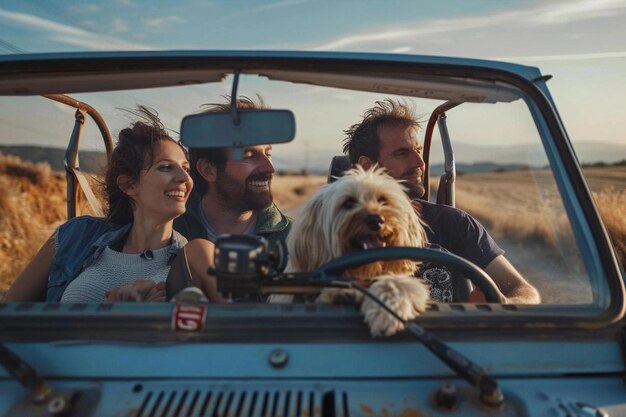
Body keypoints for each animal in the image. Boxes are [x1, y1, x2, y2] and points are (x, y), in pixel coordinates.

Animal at [288, 166, 428, 334]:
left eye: (383, 200)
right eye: (348, 203)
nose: (376, 220)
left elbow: (397, 283)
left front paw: (386, 310)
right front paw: (344, 293)